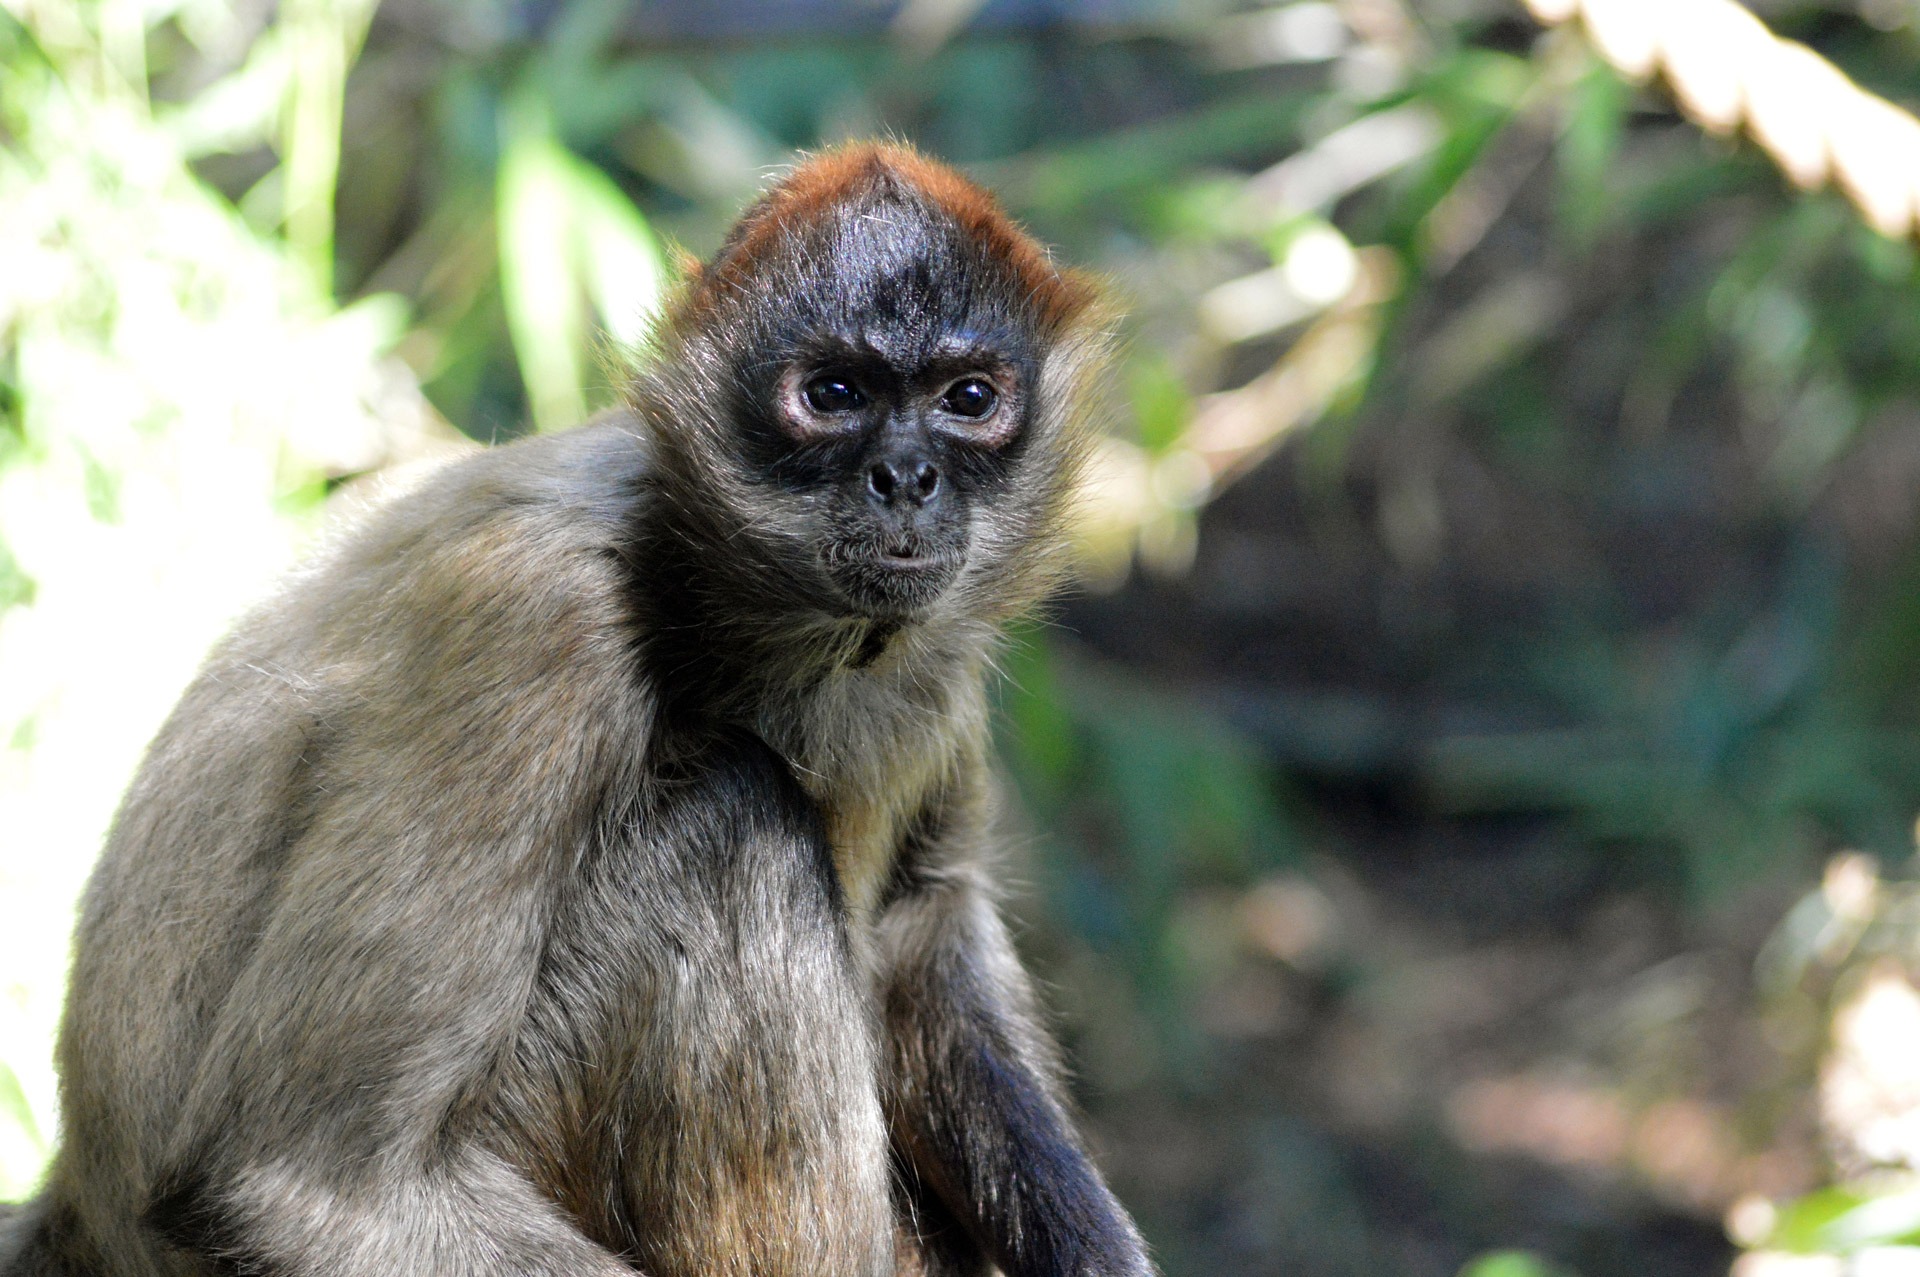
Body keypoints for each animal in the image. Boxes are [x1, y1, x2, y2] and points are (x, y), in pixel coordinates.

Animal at [0, 142, 1144, 1275]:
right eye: (832, 391)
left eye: (968, 397)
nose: (904, 475)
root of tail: (76, 1204)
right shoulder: (537, 609)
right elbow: (317, 1183)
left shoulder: (937, 652)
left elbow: (922, 932)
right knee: (733, 816)